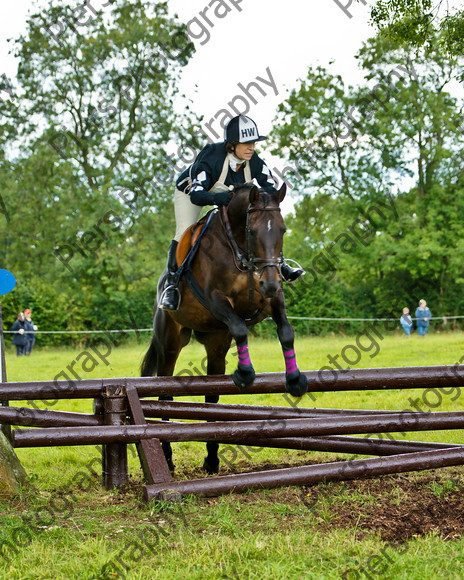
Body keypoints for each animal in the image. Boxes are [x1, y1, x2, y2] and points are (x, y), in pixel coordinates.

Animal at [141, 184, 308, 474]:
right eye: (252, 231)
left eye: (283, 230)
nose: (271, 283)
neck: (241, 251)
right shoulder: (216, 299)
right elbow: (240, 327)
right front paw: (245, 374)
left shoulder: (272, 299)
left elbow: (286, 331)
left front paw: (295, 380)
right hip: (170, 342)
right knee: (164, 395)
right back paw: (168, 458)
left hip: (216, 343)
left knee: (212, 399)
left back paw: (211, 459)